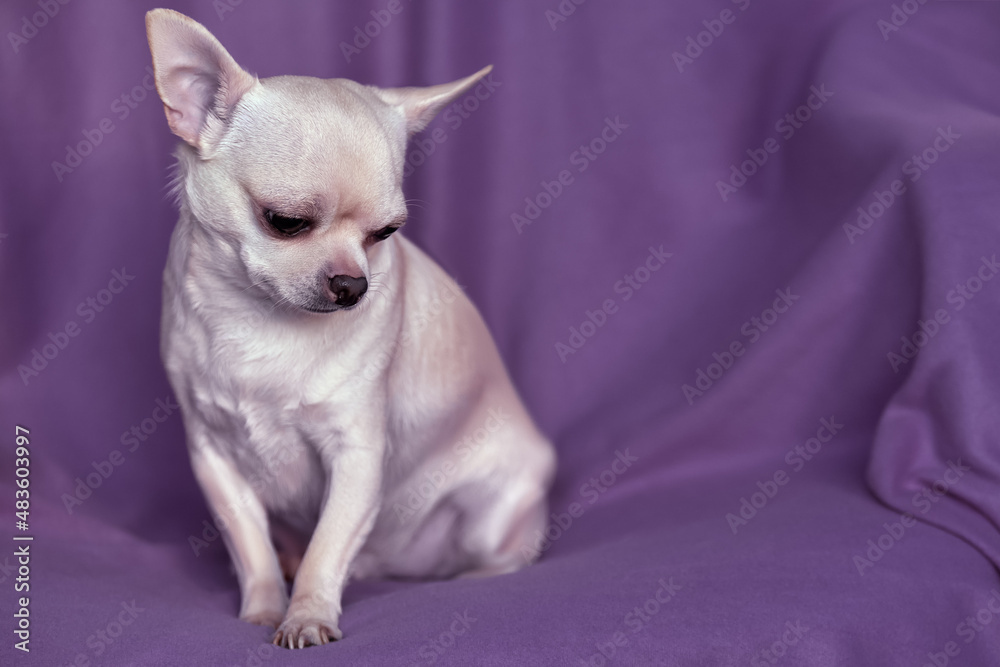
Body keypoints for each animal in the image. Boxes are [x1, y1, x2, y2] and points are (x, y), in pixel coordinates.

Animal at [146, 7, 560, 648]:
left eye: (385, 234)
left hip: (492, 509)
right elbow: (249, 543)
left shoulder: (357, 457)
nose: (352, 285)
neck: (259, 320)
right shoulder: (213, 457)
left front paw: (308, 614)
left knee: (498, 556)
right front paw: (263, 607)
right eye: (285, 222)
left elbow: (329, 545)